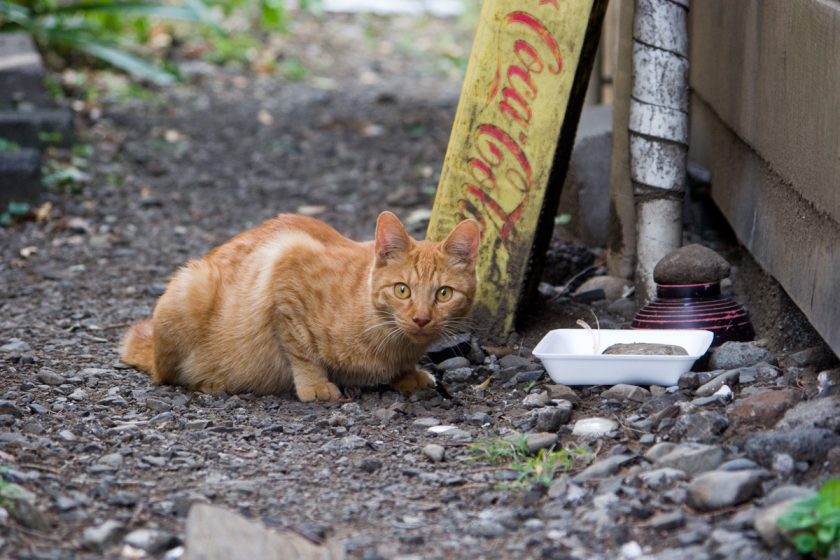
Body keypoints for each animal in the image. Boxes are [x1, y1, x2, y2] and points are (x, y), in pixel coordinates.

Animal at [121, 212, 482, 400]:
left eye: (444, 294)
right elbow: (301, 349)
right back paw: (212, 380)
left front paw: (407, 375)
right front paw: (314, 385)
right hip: (191, 288)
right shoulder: (285, 264)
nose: (421, 319)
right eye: (402, 290)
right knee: (166, 376)